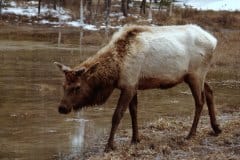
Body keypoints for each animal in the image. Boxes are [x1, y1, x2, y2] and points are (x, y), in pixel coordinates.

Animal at [54, 24, 221, 152]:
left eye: (77, 87)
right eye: (63, 85)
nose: (62, 108)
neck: (116, 69)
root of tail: (214, 41)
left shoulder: (128, 85)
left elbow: (117, 115)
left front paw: (109, 146)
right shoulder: (134, 85)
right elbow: (134, 111)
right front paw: (135, 139)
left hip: (195, 74)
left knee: (199, 101)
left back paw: (191, 134)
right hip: (197, 75)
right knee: (209, 91)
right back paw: (216, 128)